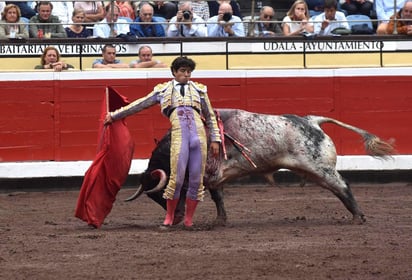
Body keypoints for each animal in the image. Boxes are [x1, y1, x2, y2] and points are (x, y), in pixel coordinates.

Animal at [124, 108, 392, 224]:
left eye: (162, 193)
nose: (176, 218)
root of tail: (311, 120)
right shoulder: (213, 177)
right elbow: (218, 198)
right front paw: (220, 221)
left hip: (320, 168)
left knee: (342, 185)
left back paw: (358, 217)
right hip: (313, 170)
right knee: (338, 187)